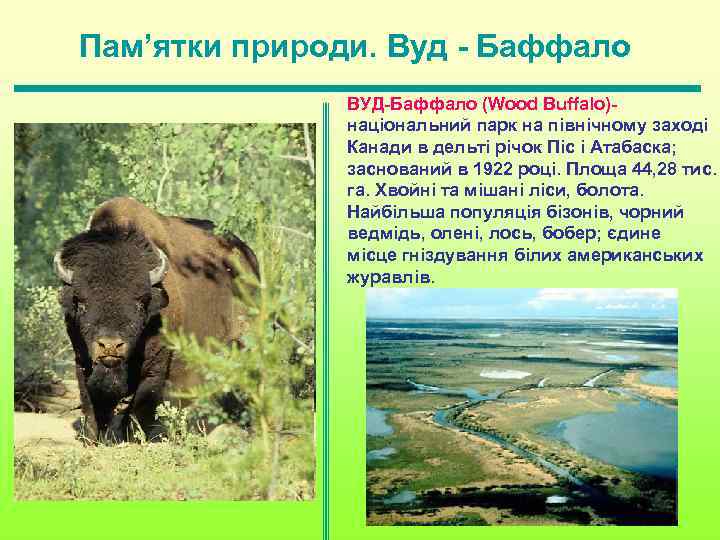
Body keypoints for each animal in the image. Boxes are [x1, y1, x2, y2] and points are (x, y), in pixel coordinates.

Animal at [53, 197, 259, 441]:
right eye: (81, 302)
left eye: (141, 302)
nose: (110, 346)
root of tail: (249, 257)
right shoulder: (82, 361)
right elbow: (90, 402)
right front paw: (92, 438)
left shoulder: (156, 365)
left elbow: (140, 402)